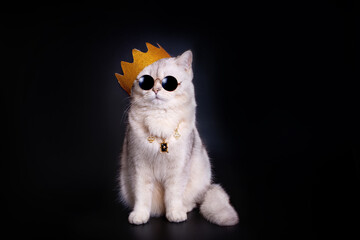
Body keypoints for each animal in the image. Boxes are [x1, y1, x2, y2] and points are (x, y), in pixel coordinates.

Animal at [119, 49, 239, 226]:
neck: (160, 119)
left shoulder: (178, 169)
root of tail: (207, 188)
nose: (156, 89)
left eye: (169, 82)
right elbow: (142, 197)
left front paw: (174, 214)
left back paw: (184, 208)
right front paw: (140, 215)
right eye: (145, 82)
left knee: (192, 201)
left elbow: (173, 196)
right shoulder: (139, 167)